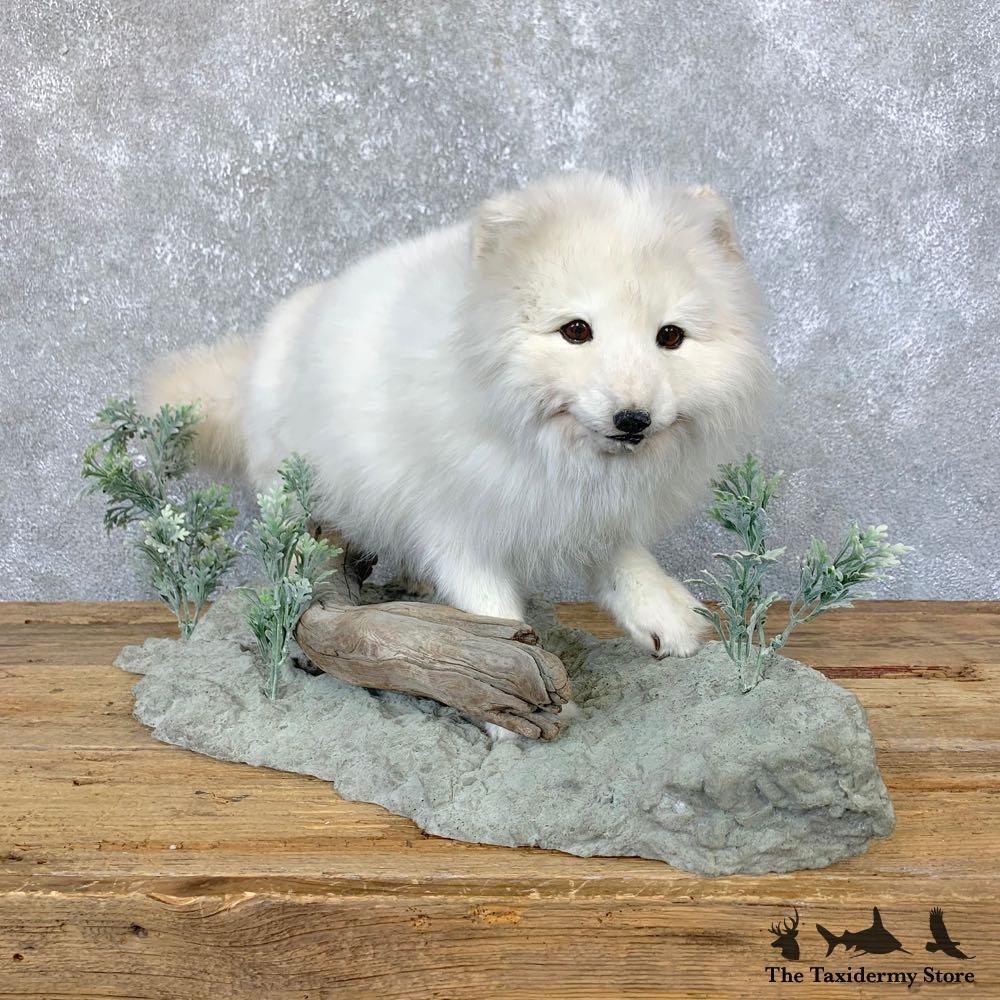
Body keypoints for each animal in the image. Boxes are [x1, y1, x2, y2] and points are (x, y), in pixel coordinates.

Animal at [145, 172, 773, 737]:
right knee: (295, 551)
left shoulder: (584, 511)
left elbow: (624, 564)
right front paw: (511, 696)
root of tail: (260, 352)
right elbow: (492, 609)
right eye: (576, 330)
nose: (633, 419)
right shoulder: (459, 523)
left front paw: (667, 619)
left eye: (670, 337)